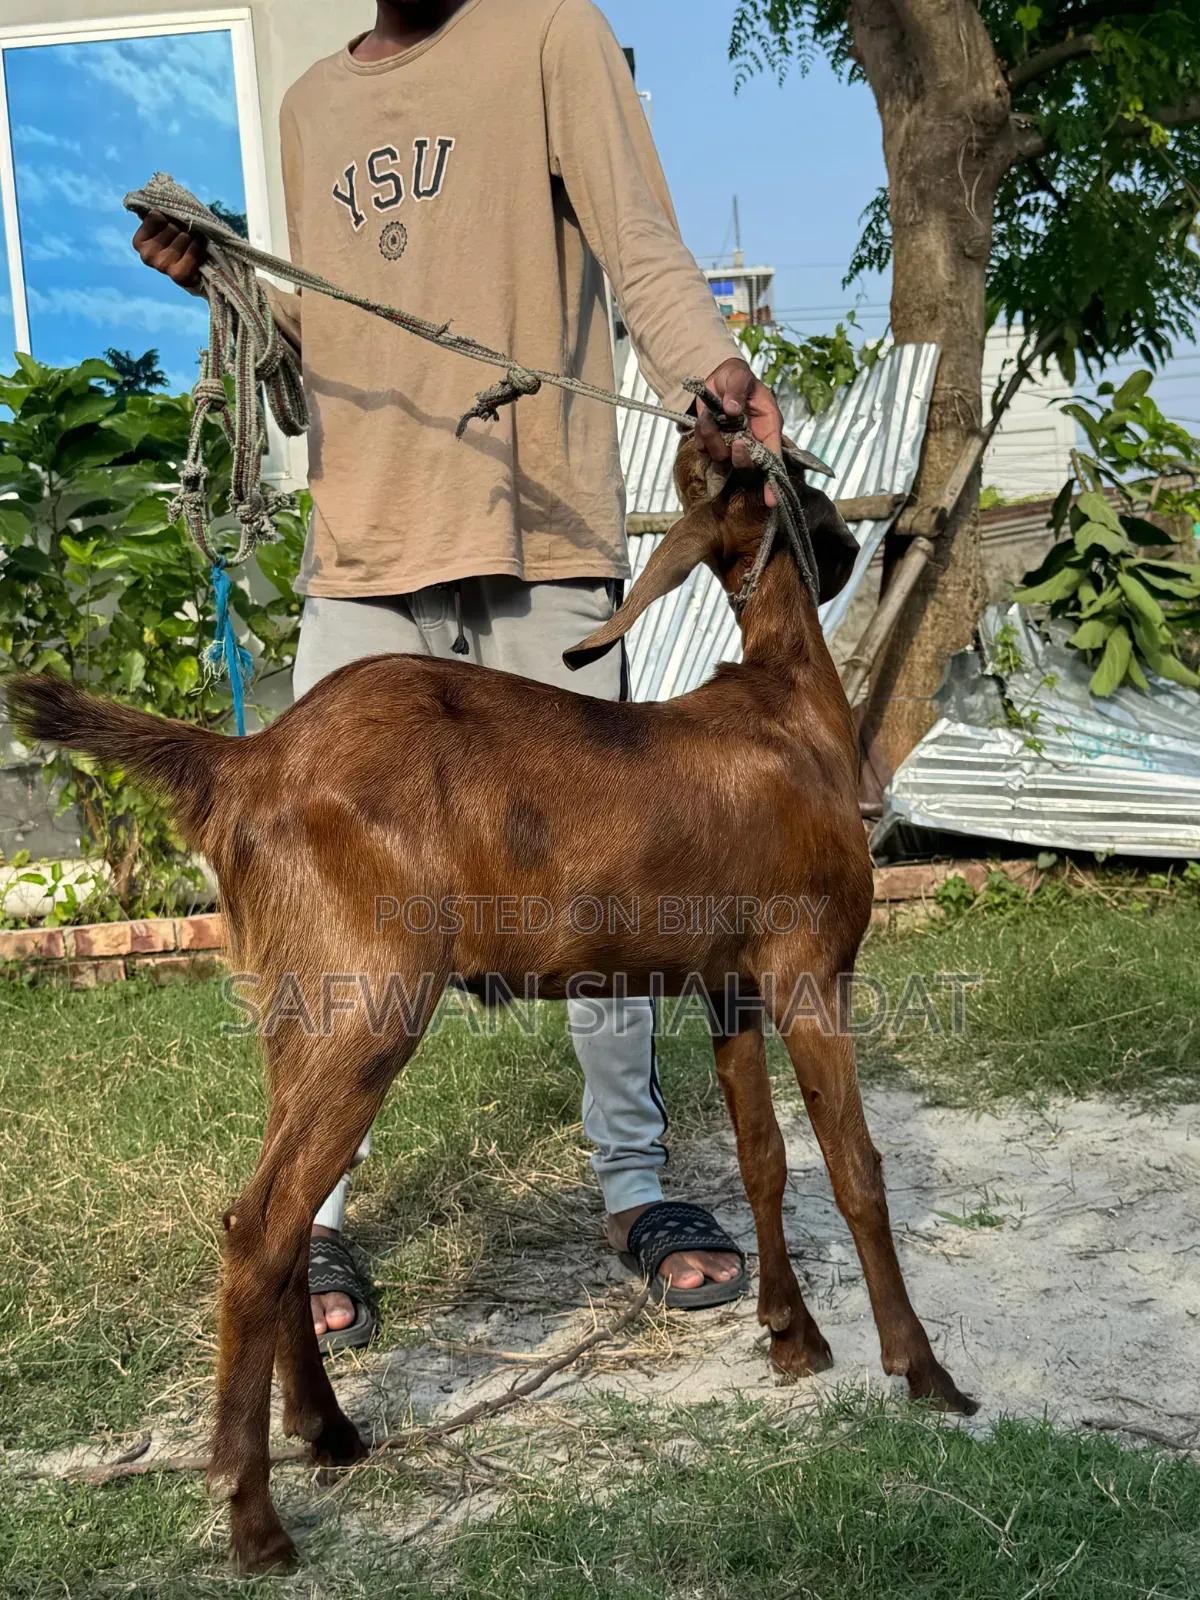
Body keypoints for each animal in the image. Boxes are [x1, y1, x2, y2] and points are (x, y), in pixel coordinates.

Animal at [6, 434, 975, 1573]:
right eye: (802, 485)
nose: (858, 545)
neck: (785, 705)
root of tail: (248, 762)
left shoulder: (727, 984)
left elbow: (764, 1160)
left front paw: (792, 1336)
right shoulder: (810, 967)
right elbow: (856, 1170)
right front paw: (922, 1371)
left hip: (298, 1010)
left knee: (275, 1218)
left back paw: (328, 1431)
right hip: (367, 1003)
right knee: (260, 1224)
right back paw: (255, 1516)